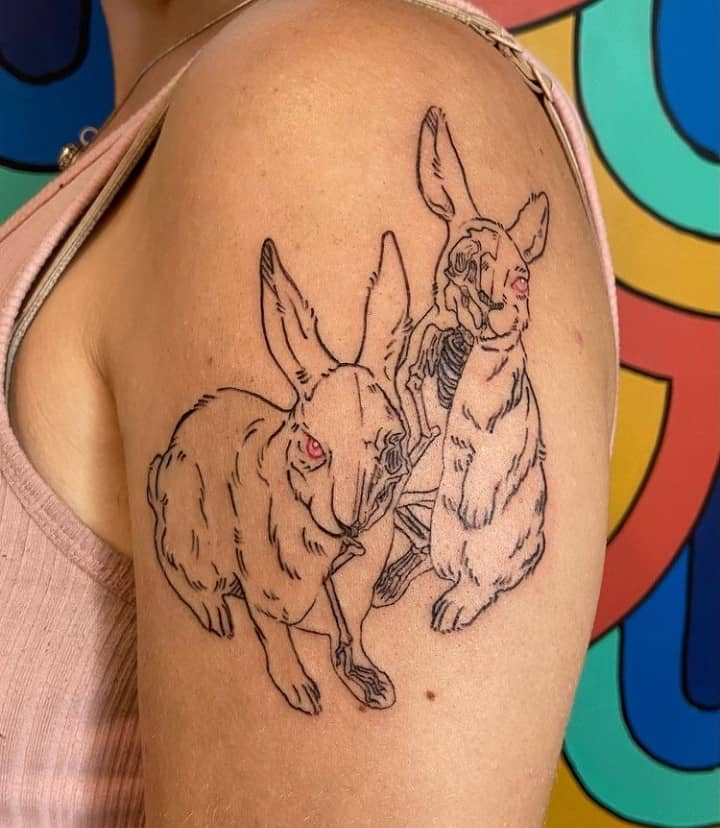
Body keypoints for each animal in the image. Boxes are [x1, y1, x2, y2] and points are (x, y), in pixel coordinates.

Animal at [147, 232, 411, 714]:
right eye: (312, 446)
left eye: (393, 448)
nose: (352, 523)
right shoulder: (267, 596)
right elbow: (278, 640)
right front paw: (302, 693)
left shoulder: (346, 606)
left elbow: (350, 637)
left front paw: (372, 685)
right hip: (192, 537)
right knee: (172, 565)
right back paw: (215, 614)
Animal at [375, 107, 549, 633]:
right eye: (458, 264)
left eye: (522, 281)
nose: (493, 306)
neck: (467, 339)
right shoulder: (412, 381)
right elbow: (416, 412)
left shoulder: (508, 424)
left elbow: (492, 459)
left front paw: (473, 506)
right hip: (424, 523)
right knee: (423, 545)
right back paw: (392, 581)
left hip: (497, 549)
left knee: (480, 582)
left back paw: (451, 607)